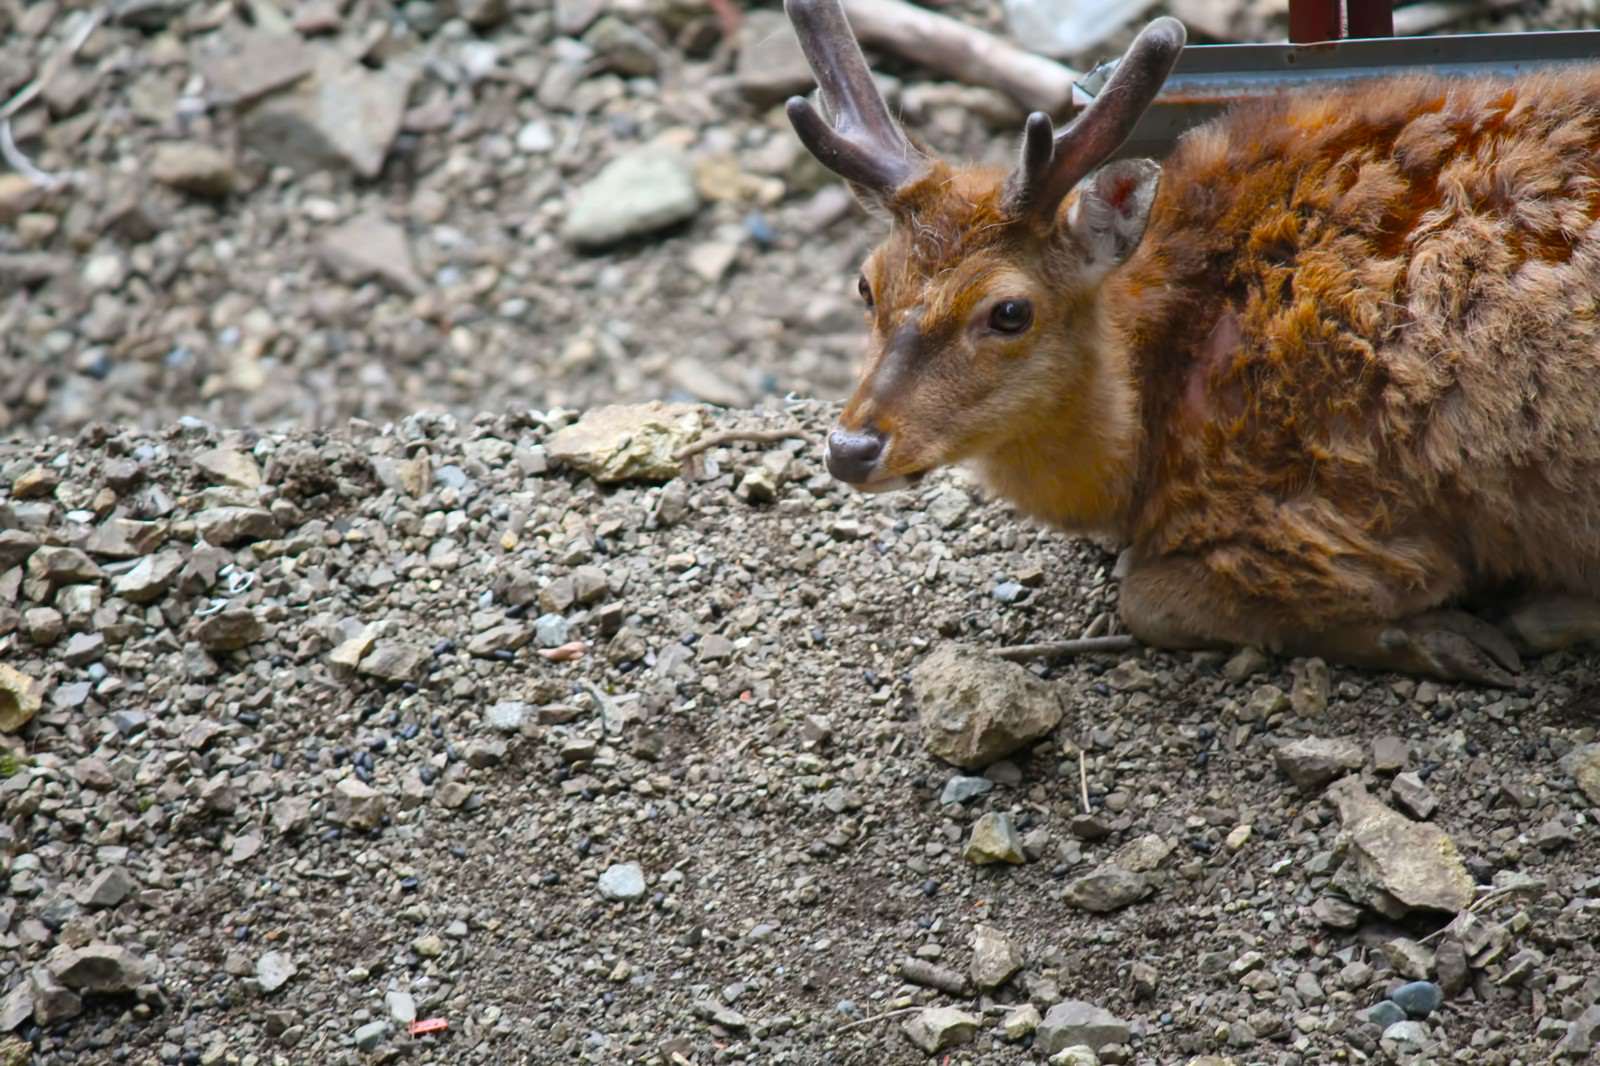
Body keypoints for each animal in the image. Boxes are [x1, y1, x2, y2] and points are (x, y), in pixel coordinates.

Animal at [782, 0, 1600, 687]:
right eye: (866, 283)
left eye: (1009, 310)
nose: (851, 447)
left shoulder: (1320, 519)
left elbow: (1145, 599)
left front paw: (1447, 635)